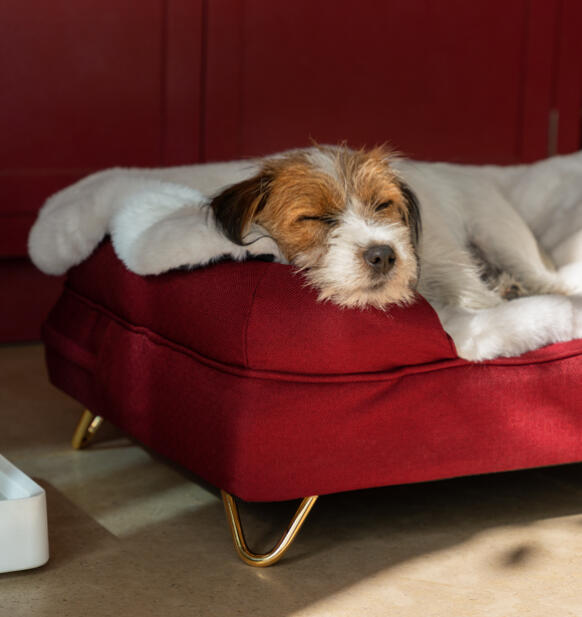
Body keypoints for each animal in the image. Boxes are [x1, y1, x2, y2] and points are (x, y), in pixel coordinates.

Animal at [29, 144, 582, 360]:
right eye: (315, 219)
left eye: (383, 206)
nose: (383, 254)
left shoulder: (449, 265)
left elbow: (474, 302)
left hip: (501, 235)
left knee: (550, 283)